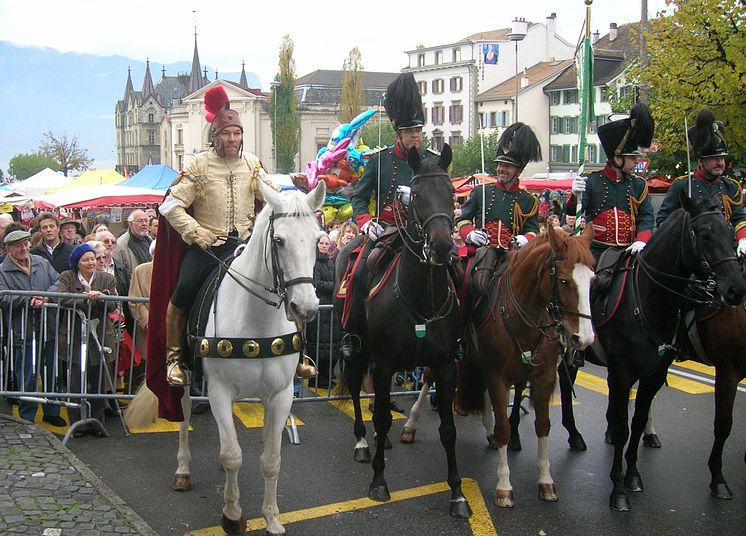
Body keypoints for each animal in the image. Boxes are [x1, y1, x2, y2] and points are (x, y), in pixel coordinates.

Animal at [127, 181, 322, 536]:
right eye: (279, 240)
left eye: (317, 239)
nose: (306, 308)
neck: (256, 319)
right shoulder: (218, 390)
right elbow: (233, 455)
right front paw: (232, 516)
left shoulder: (280, 395)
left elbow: (271, 460)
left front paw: (272, 518)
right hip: (185, 378)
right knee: (184, 418)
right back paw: (182, 471)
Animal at [332, 144, 468, 516]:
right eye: (416, 195)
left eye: (452, 193)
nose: (443, 247)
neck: (422, 299)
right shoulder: (382, 362)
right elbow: (379, 417)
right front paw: (379, 481)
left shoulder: (445, 365)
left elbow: (449, 429)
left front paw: (457, 492)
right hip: (357, 346)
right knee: (355, 388)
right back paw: (363, 442)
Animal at [456, 224, 596, 508]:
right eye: (563, 281)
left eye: (593, 280)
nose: (584, 339)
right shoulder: (498, 377)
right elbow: (505, 428)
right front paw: (504, 486)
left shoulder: (543, 378)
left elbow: (543, 426)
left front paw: (546, 482)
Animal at [592, 195, 744, 512]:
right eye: (704, 234)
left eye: (731, 232)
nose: (736, 290)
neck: (646, 299)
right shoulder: (727, 370)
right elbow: (625, 428)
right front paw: (618, 489)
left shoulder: (653, 373)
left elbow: (636, 422)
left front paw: (633, 476)